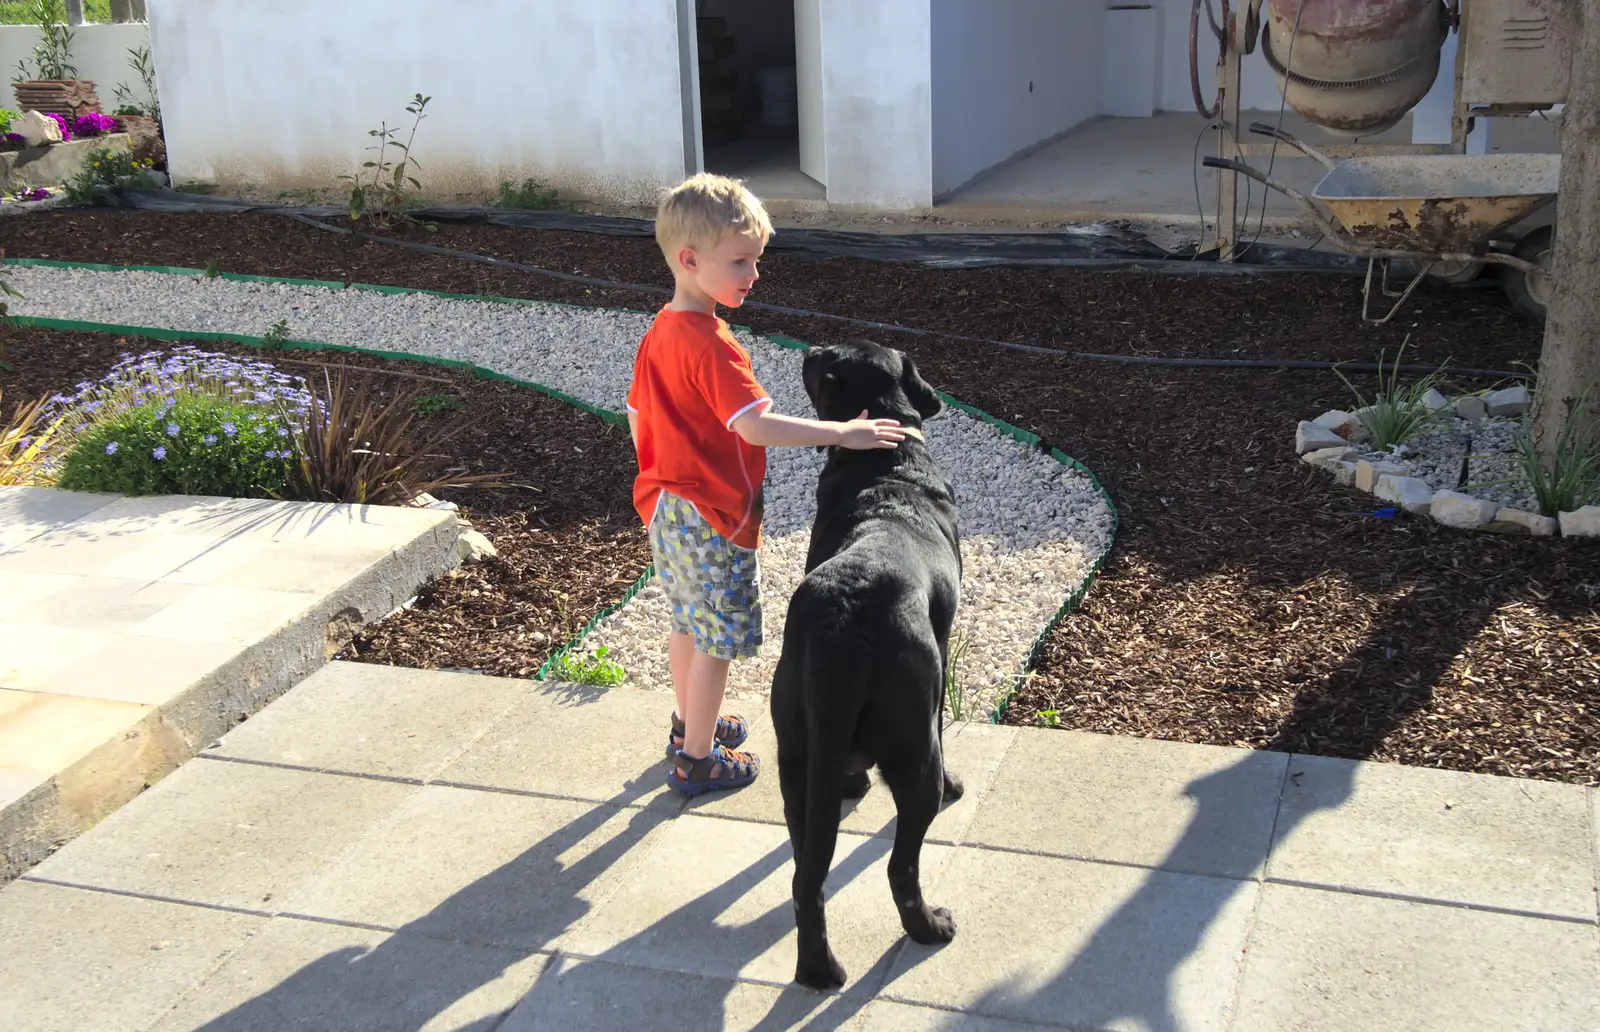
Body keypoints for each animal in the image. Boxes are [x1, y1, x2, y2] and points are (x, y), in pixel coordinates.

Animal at [771, 337, 960, 992]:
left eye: (825, 356)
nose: (808, 344)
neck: (886, 461)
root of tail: (844, 615)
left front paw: (853, 782)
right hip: (913, 749)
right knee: (902, 867)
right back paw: (929, 927)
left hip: (794, 747)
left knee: (806, 876)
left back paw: (817, 970)